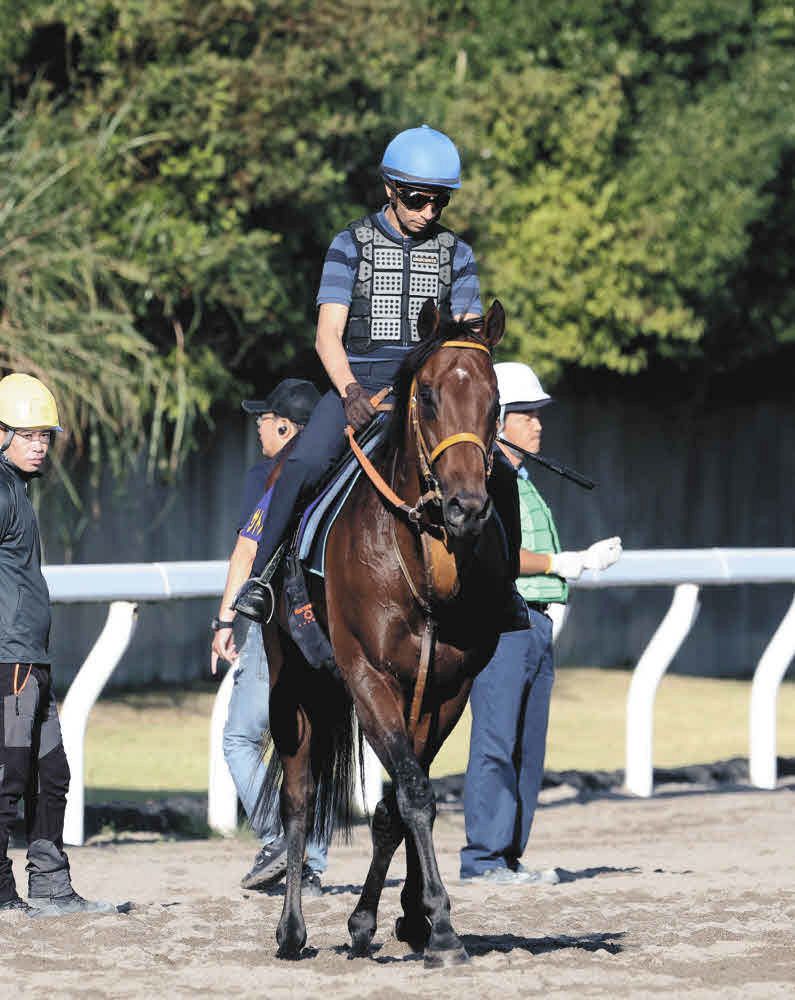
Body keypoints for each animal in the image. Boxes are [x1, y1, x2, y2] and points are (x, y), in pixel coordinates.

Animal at [258, 298, 511, 966]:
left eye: (495, 399)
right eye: (427, 395)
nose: (467, 507)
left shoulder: (447, 689)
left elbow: (400, 802)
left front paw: (400, 919)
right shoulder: (368, 677)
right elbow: (414, 794)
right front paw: (442, 928)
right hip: (292, 679)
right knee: (298, 797)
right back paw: (291, 930)